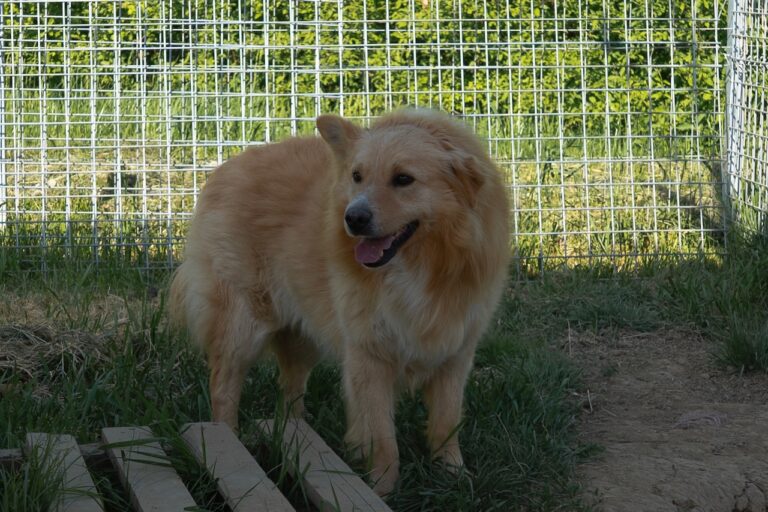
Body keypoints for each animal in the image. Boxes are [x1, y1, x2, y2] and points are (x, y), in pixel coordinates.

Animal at [169, 109, 510, 495]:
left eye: (403, 179)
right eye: (357, 176)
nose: (353, 218)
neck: (418, 266)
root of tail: (231, 164)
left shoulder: (455, 353)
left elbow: (446, 422)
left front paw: (453, 474)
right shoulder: (367, 355)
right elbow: (382, 436)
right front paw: (381, 488)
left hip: (303, 338)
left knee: (290, 394)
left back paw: (296, 438)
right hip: (242, 326)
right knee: (224, 388)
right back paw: (229, 442)